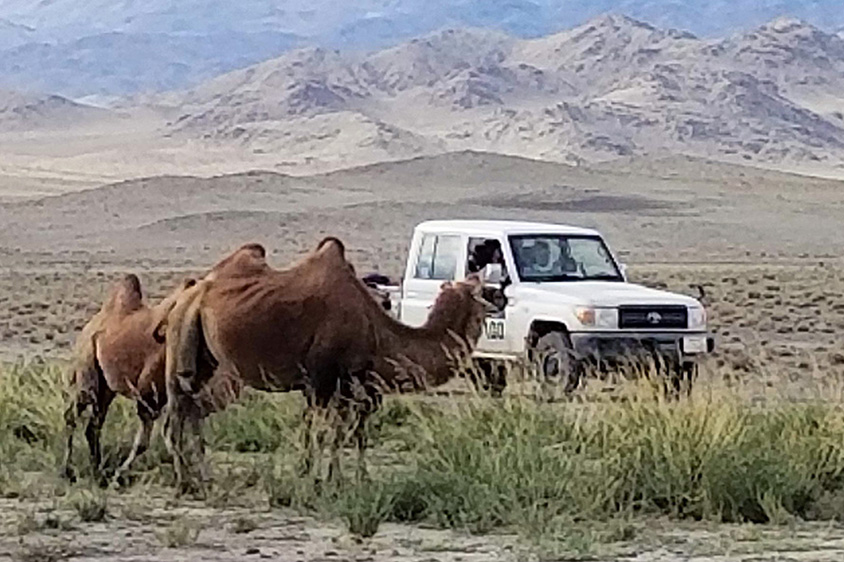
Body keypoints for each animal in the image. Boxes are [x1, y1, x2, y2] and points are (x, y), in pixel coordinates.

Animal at [162, 235, 488, 490]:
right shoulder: (323, 377)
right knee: (176, 412)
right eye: (487, 296)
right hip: (181, 341)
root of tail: (189, 290)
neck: (374, 328)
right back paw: (183, 481)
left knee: (191, 409)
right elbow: (323, 431)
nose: (498, 298)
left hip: (206, 357)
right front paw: (316, 480)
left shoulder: (344, 383)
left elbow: (341, 432)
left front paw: (338, 478)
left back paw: (201, 477)